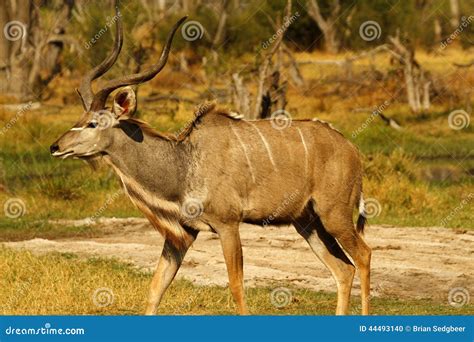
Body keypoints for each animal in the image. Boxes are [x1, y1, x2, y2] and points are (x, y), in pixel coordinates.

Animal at [51, 5, 370, 316]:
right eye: (79, 118)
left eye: (93, 123)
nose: (55, 147)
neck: (182, 163)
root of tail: (351, 148)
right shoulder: (183, 233)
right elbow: (155, 289)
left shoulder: (228, 225)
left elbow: (236, 286)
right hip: (308, 223)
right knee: (343, 270)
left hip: (334, 215)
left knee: (363, 256)